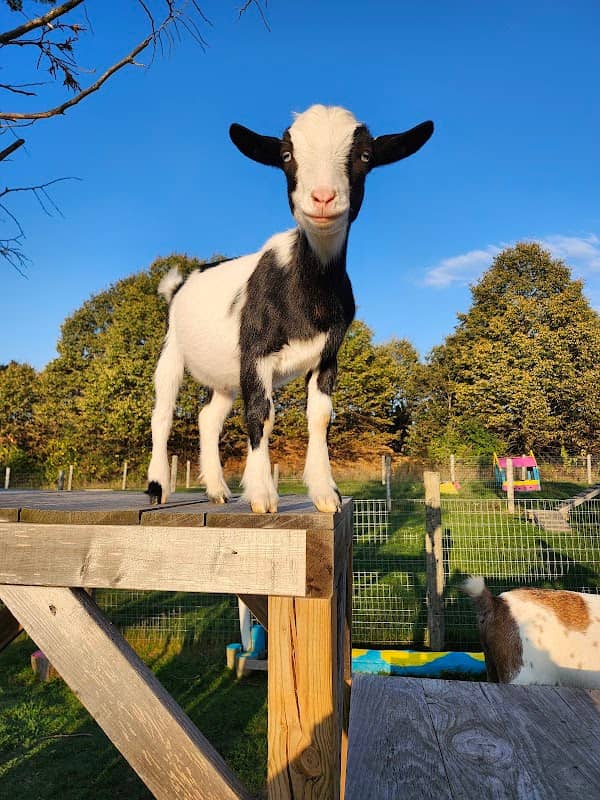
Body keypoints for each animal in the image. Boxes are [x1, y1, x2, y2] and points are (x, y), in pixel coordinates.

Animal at [147, 104, 434, 512]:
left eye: (365, 156)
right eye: (286, 156)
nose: (323, 198)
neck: (307, 293)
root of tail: (182, 281)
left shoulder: (327, 356)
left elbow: (320, 418)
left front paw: (325, 493)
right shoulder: (255, 352)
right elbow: (260, 414)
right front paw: (263, 496)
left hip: (223, 374)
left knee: (208, 418)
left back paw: (218, 489)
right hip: (172, 350)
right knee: (162, 415)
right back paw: (158, 486)